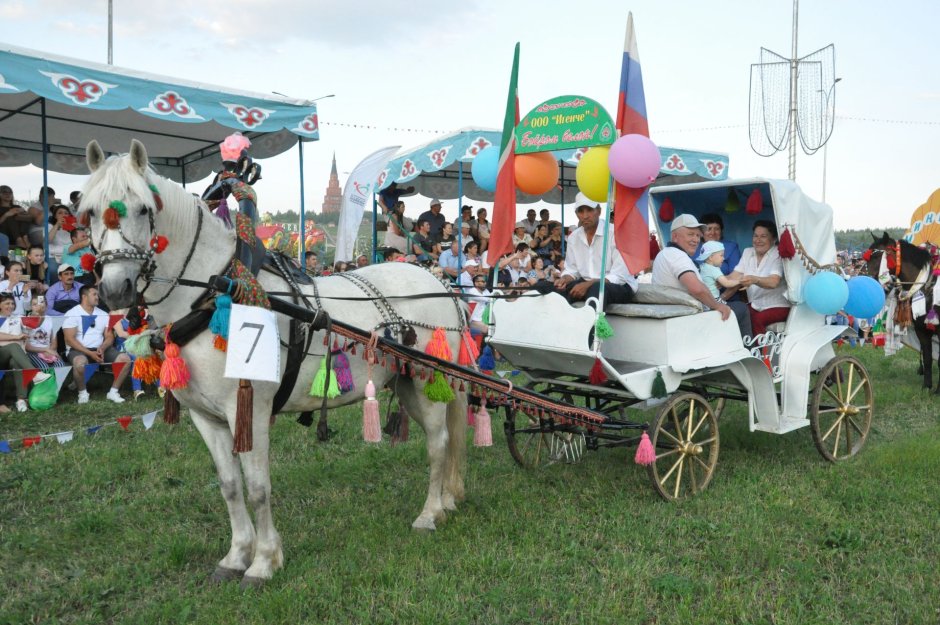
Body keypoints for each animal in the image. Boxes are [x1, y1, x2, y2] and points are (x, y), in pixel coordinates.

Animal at [79, 140, 468, 584]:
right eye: (89, 211)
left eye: (144, 208)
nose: (115, 289)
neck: (215, 294)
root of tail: (438, 282)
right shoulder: (206, 417)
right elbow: (230, 486)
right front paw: (235, 556)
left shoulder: (248, 409)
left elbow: (258, 486)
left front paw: (264, 561)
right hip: (405, 386)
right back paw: (447, 500)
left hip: (427, 382)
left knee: (438, 443)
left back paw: (430, 513)